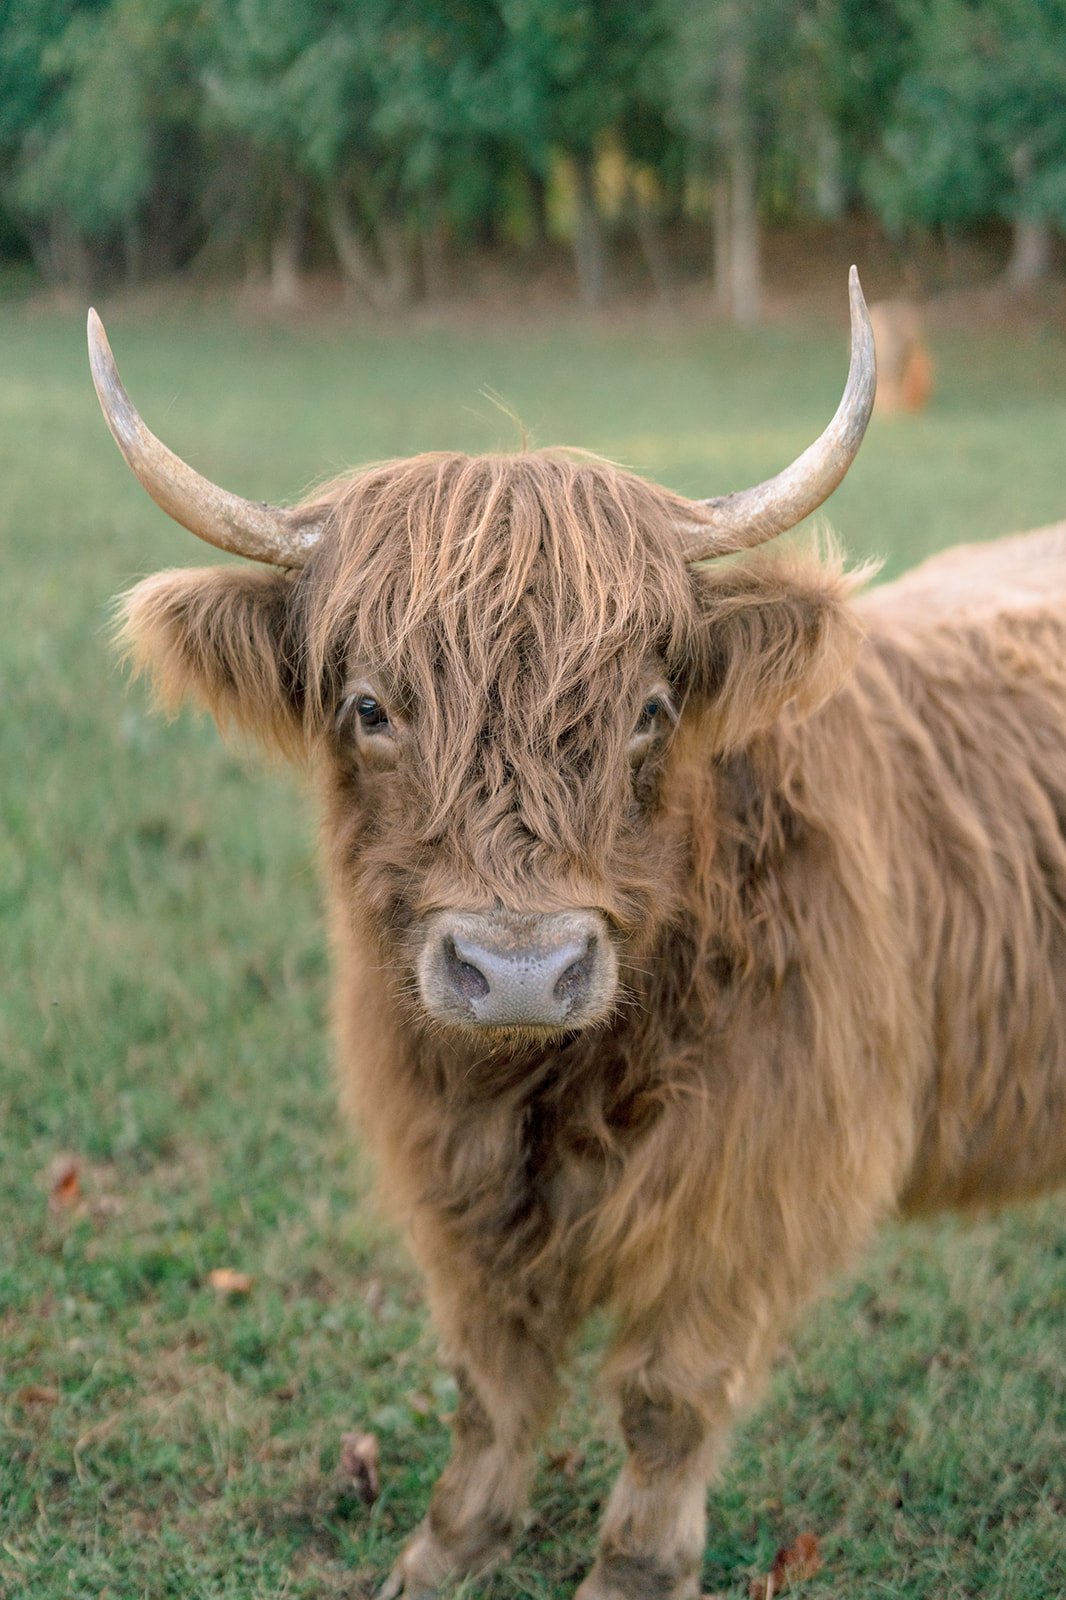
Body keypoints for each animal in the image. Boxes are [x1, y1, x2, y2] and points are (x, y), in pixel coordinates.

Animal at [89, 270, 1066, 1600]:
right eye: (370, 707)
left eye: (649, 709)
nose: (518, 971)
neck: (547, 1090)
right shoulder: (448, 1174)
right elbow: (489, 1380)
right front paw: (448, 1546)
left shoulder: (752, 1190)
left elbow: (666, 1398)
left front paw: (633, 1569)